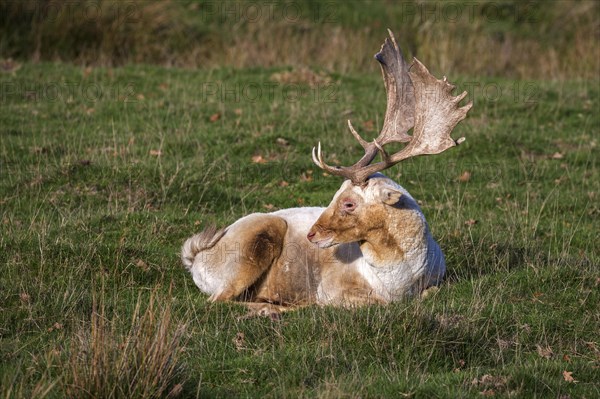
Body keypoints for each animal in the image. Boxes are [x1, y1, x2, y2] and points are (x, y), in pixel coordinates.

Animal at [180, 29, 472, 318]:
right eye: (335, 195)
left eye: (349, 203)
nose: (311, 234)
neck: (402, 282)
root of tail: (196, 258)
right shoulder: (332, 287)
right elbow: (371, 303)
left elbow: (431, 293)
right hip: (249, 248)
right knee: (217, 300)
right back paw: (270, 308)